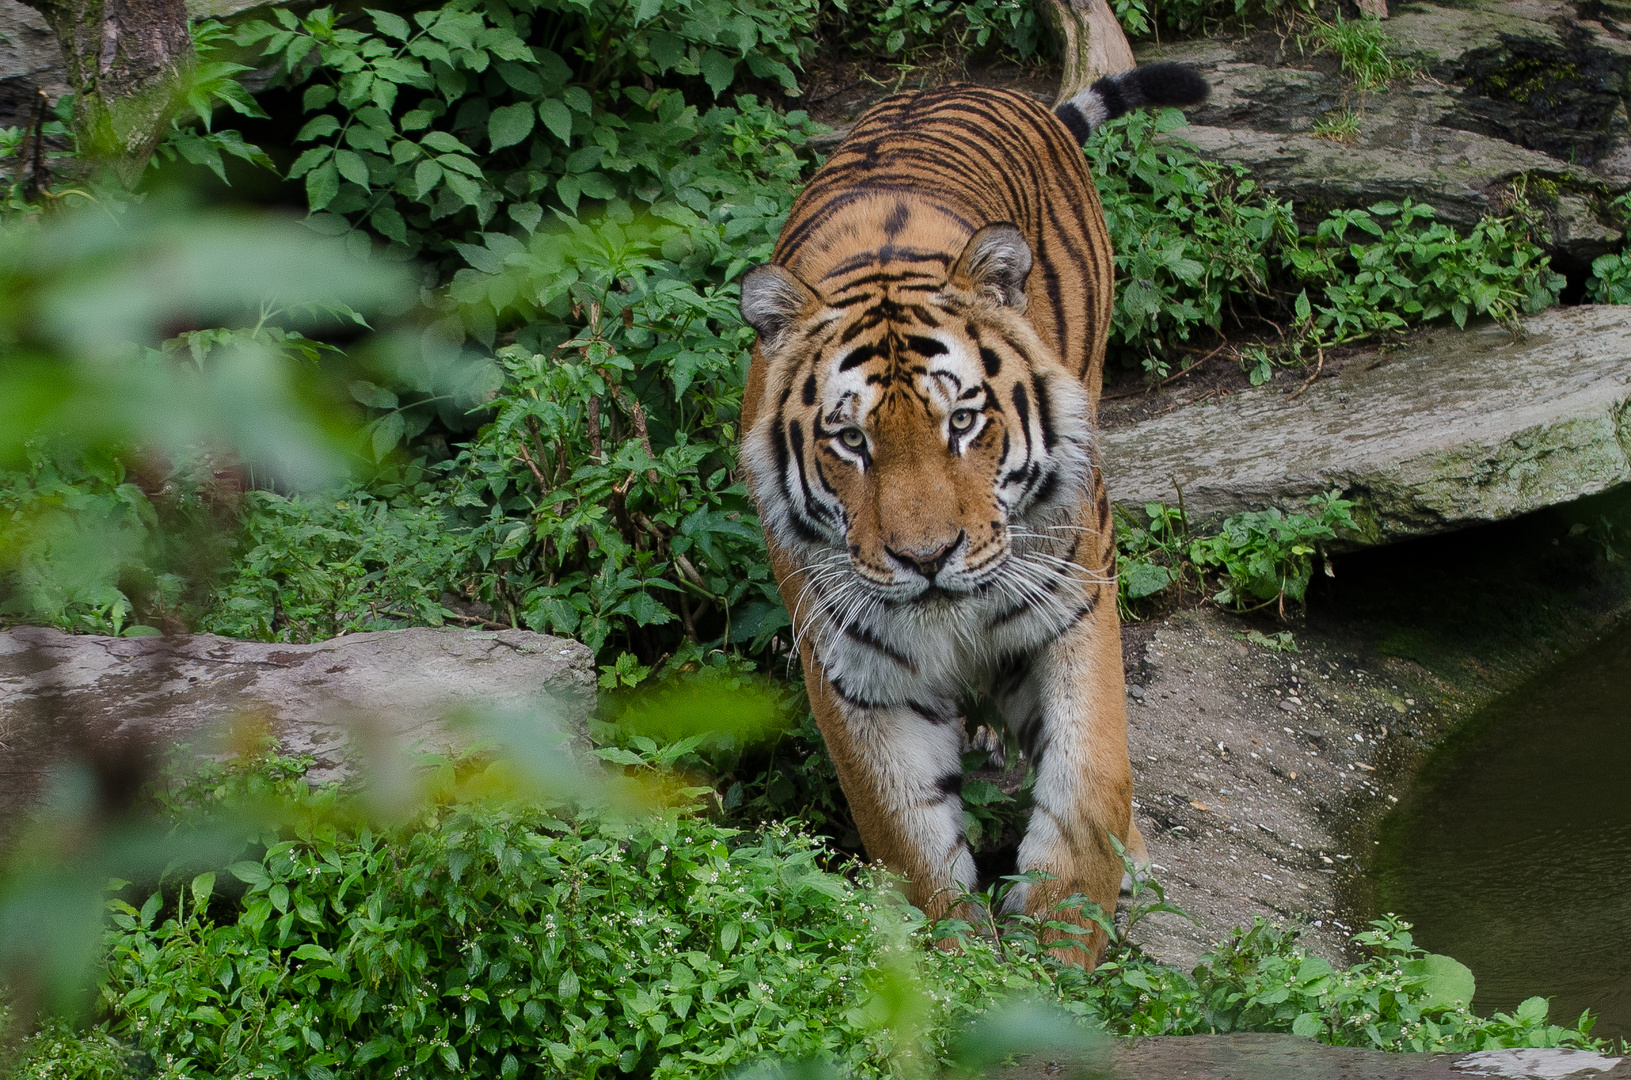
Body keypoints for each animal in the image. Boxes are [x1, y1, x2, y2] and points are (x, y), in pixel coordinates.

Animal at [740, 63, 1213, 965]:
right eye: (849, 440)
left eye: (961, 421)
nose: (927, 558)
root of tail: (977, 88)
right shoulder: (852, 670)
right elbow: (909, 839)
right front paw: (963, 973)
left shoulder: (1073, 603)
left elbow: (1089, 780)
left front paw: (1062, 951)